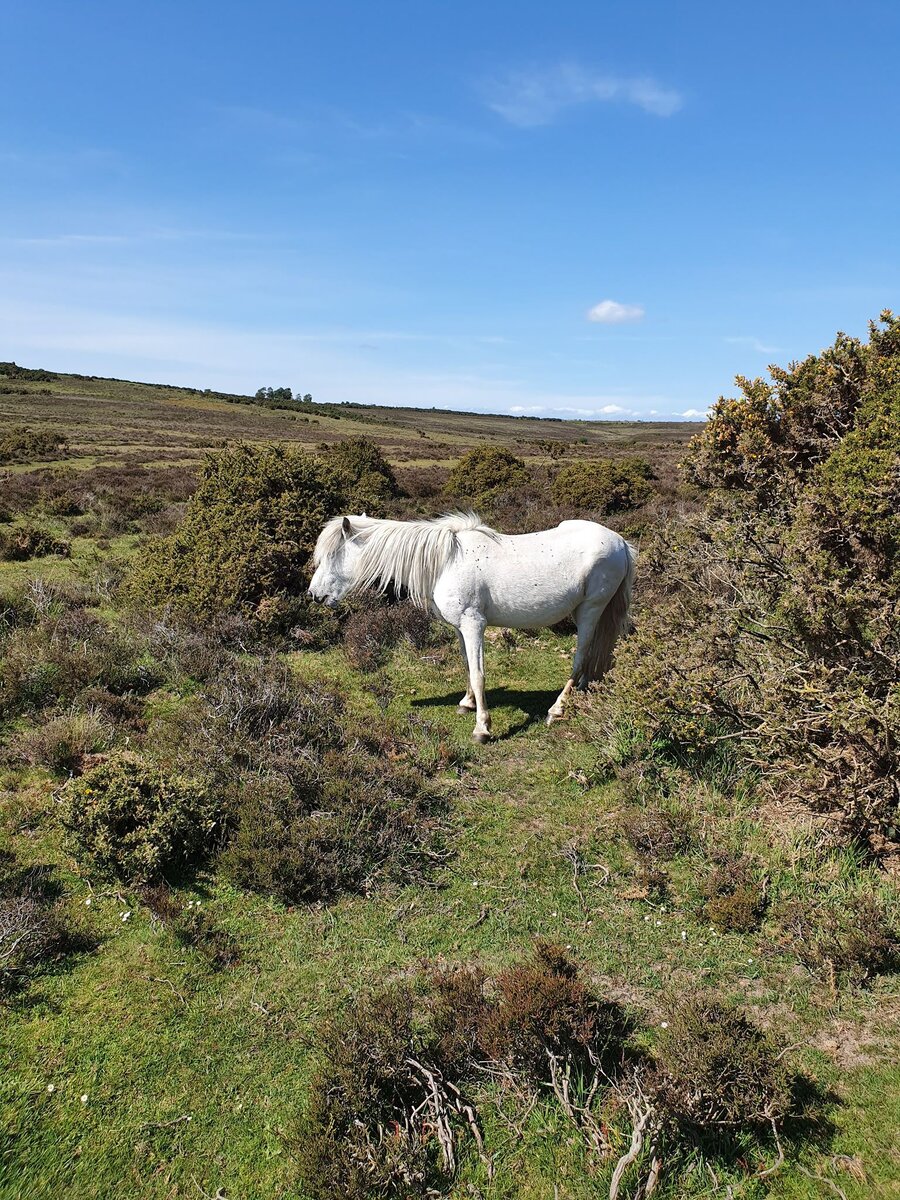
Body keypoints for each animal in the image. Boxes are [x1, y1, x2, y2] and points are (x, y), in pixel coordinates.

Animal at [309, 516, 633, 739]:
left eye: (332, 555)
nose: (314, 595)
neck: (445, 563)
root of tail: (621, 543)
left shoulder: (473, 624)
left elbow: (478, 675)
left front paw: (482, 728)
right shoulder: (459, 628)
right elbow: (466, 665)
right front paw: (466, 704)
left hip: (590, 609)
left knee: (581, 656)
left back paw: (557, 709)